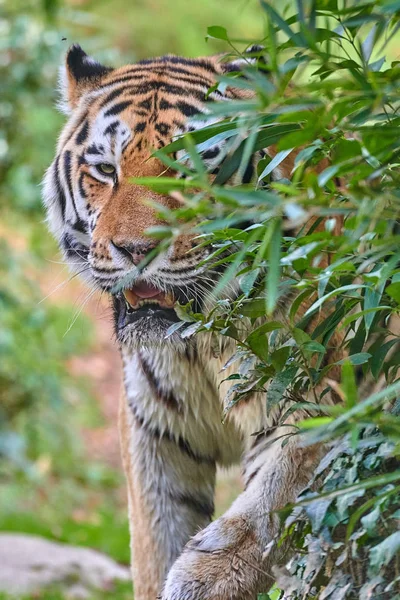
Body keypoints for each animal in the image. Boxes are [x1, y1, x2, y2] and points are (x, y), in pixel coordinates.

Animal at [43, 44, 344, 600]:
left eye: (193, 171)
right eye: (105, 170)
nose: (135, 249)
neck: (200, 342)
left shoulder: (322, 404)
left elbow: (272, 503)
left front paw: (202, 577)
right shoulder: (154, 434)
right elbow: (154, 539)